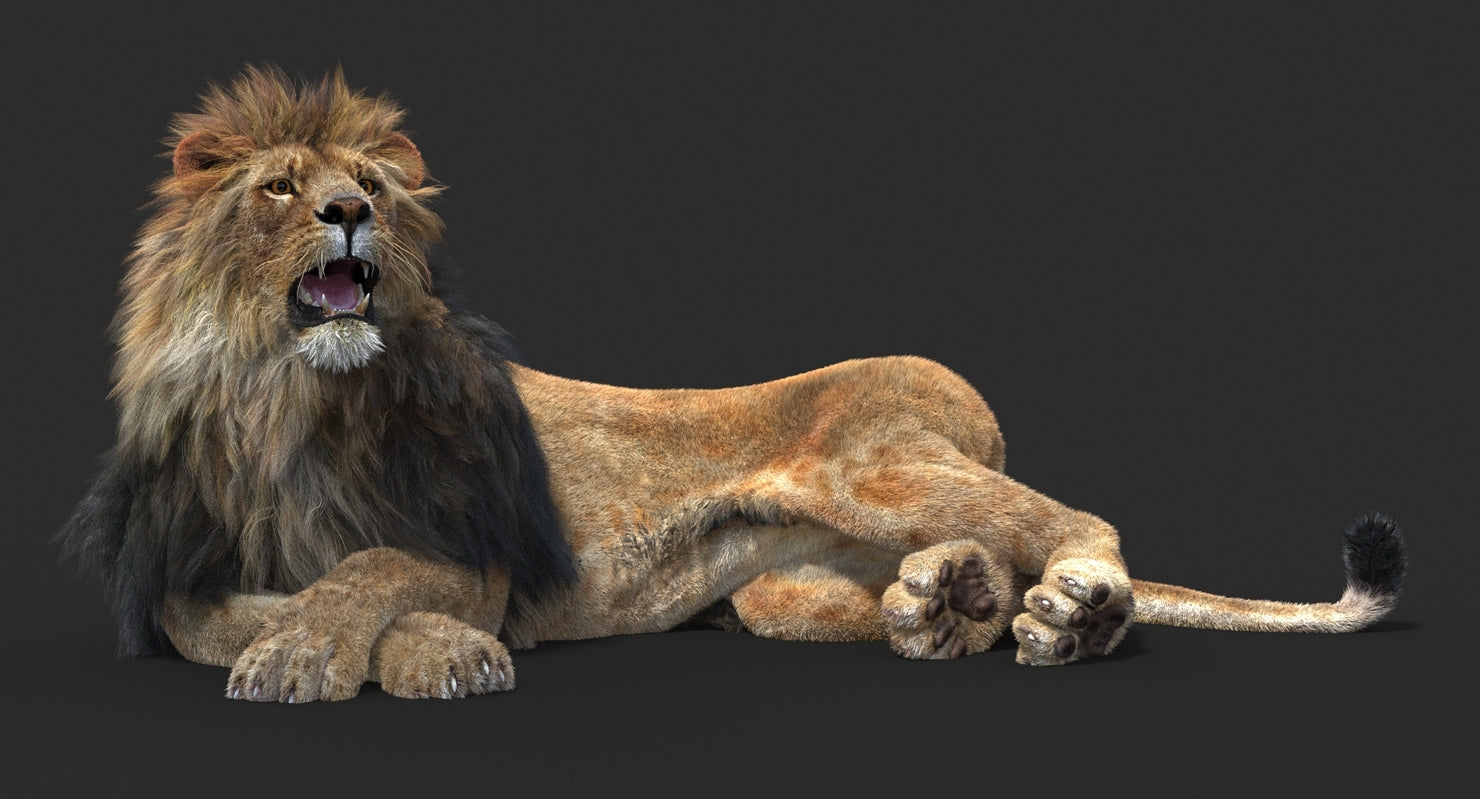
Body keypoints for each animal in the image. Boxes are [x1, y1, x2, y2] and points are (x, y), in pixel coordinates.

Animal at [57, 65, 1407, 702]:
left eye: (374, 188)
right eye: (281, 188)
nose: (348, 211)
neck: (283, 403)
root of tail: (973, 408)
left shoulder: (475, 541)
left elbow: (369, 571)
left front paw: (402, 651)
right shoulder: (182, 559)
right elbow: (212, 615)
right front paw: (335, 647)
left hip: (872, 460)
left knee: (1079, 521)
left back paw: (1070, 609)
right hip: (780, 587)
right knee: (932, 575)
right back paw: (950, 603)